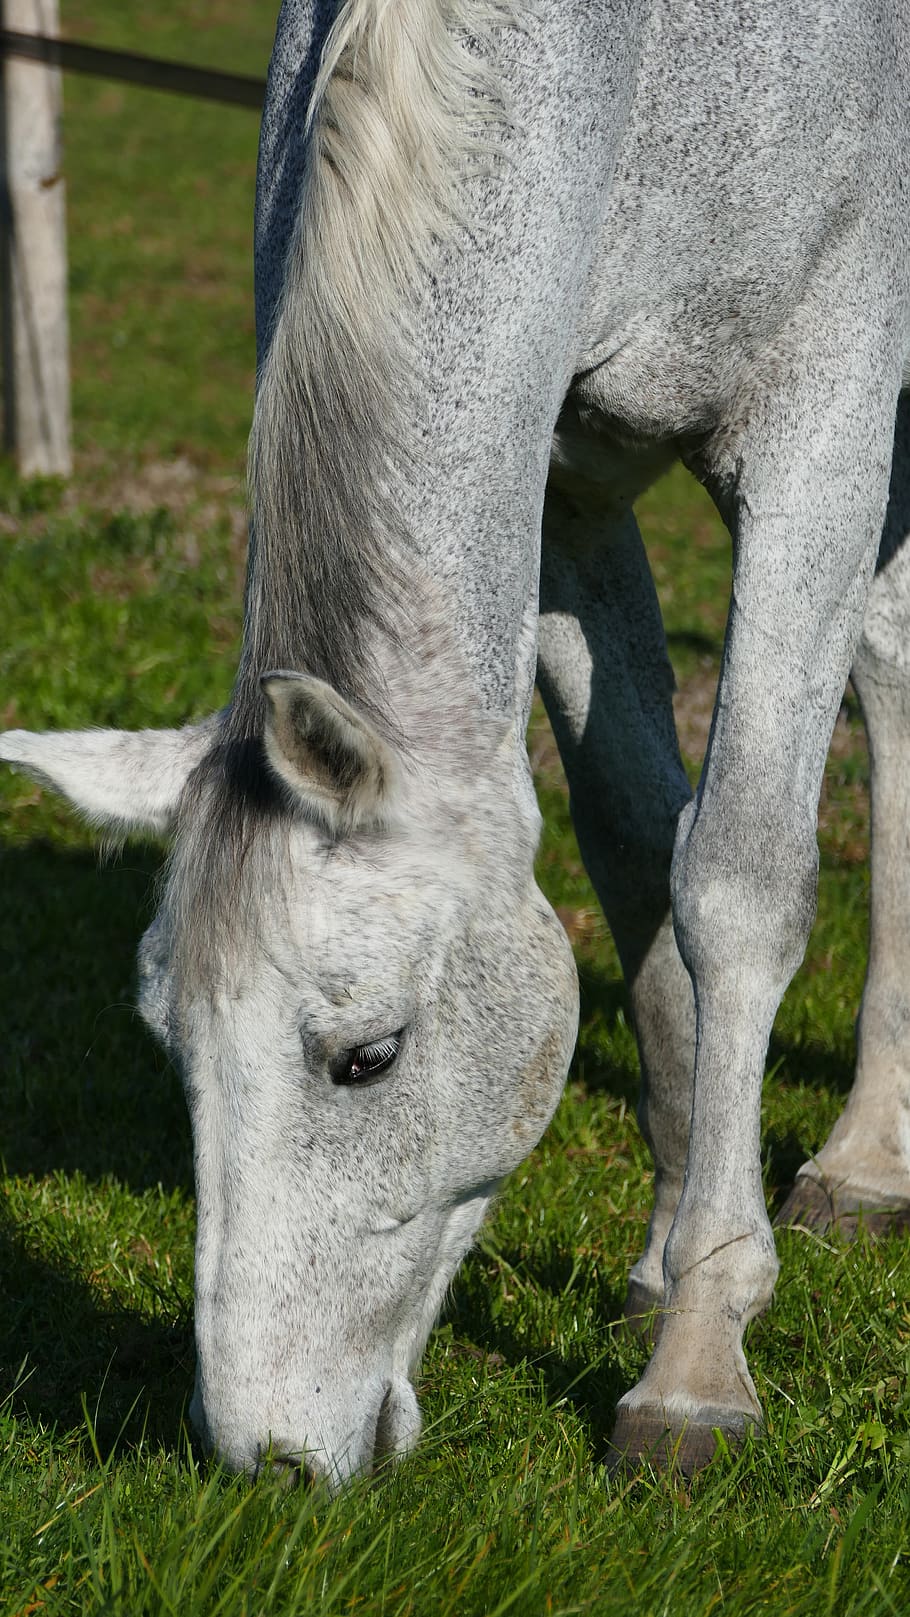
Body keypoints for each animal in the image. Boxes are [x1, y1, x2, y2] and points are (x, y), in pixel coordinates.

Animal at [2, 0, 909, 1484]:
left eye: (366, 1056)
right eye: (171, 1046)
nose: (269, 1459)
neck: (651, 61)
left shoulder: (818, 430)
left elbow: (735, 879)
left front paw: (696, 1366)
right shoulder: (566, 476)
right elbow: (634, 842)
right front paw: (662, 1260)